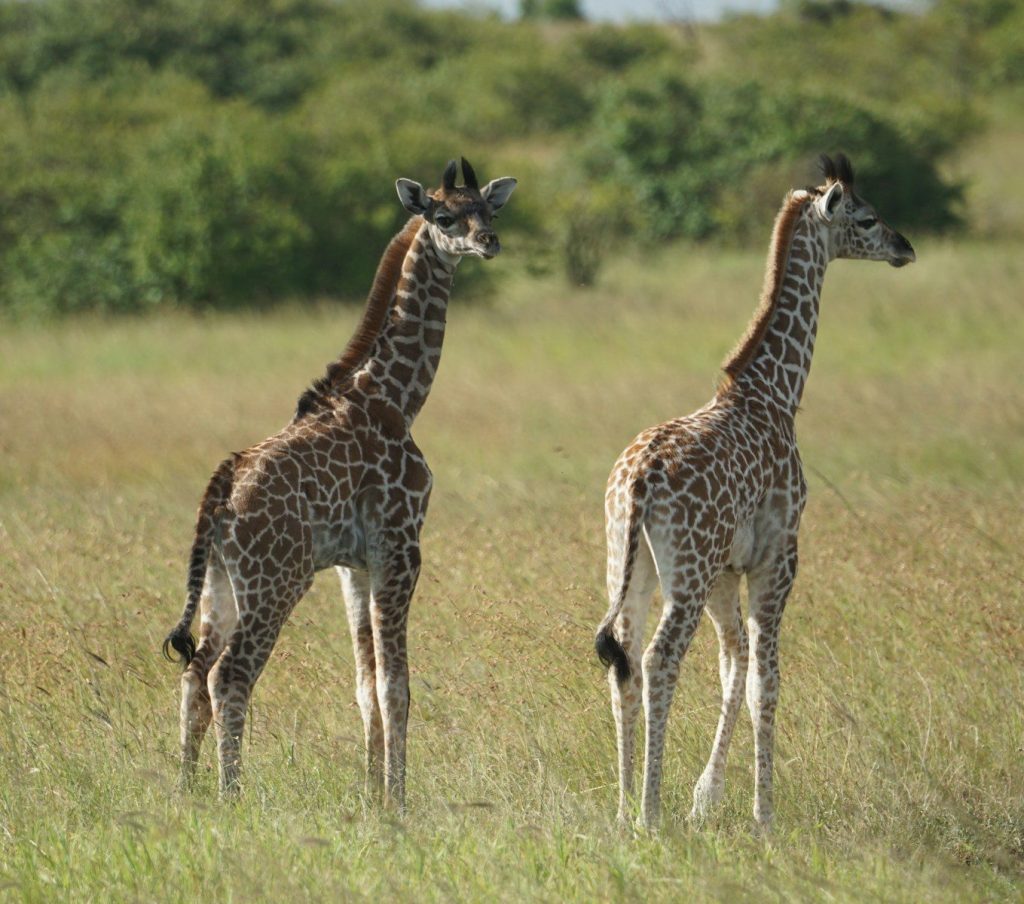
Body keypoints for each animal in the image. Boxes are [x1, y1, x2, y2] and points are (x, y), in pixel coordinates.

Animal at [162, 158, 517, 809]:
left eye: (488, 208)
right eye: (444, 216)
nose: (488, 241)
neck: (397, 398)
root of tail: (220, 488)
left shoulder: (355, 564)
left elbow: (365, 684)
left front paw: (373, 795)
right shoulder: (400, 546)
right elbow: (397, 684)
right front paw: (397, 800)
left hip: (221, 581)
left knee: (195, 671)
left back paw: (185, 789)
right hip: (276, 579)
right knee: (230, 674)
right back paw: (230, 795)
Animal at [594, 154, 915, 832]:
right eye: (867, 217)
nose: (905, 246)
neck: (775, 391)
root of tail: (638, 480)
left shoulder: (726, 570)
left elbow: (732, 670)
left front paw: (706, 797)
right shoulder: (778, 555)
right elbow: (766, 677)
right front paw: (763, 814)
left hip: (627, 566)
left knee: (623, 660)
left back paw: (624, 809)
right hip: (684, 573)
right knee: (659, 659)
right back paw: (650, 815)